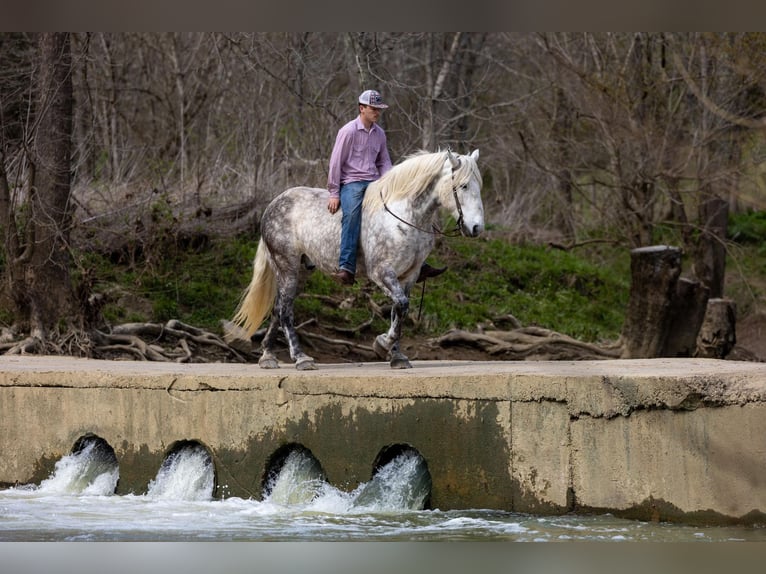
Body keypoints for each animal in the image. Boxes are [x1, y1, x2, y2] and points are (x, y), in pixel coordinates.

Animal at [234, 148, 486, 372]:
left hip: (300, 271)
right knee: (285, 311)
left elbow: (399, 311)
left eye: (478, 186)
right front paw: (383, 344)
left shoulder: (409, 276)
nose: (477, 228)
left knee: (278, 308)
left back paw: (268, 356)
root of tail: (273, 205)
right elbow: (401, 304)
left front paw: (396, 356)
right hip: (286, 265)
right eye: (463, 186)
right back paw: (301, 358)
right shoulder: (382, 272)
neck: (404, 216)